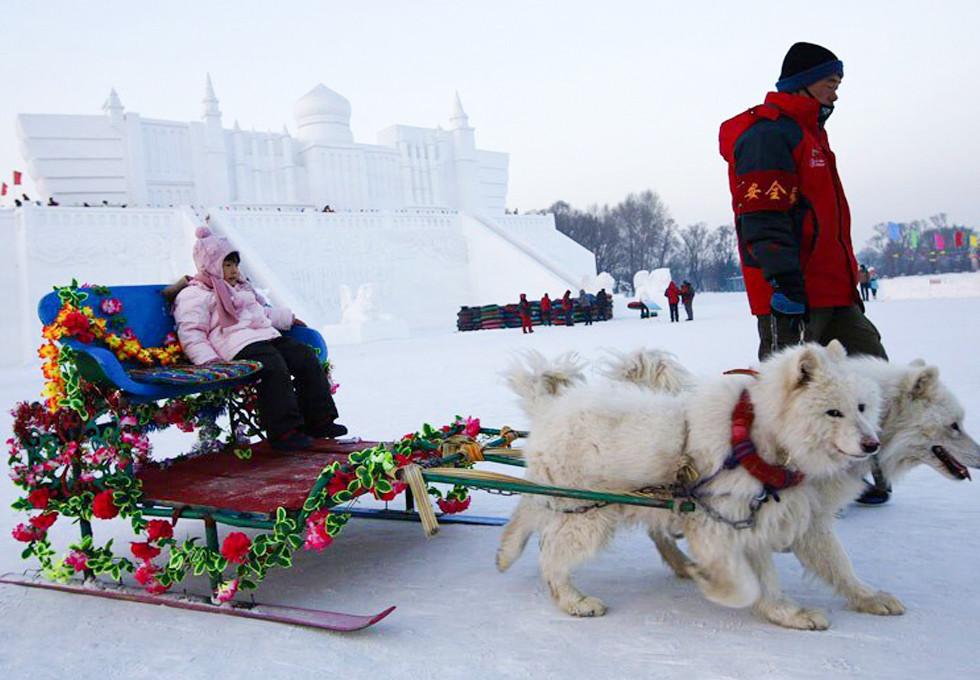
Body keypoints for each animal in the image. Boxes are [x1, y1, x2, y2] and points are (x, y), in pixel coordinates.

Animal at [498, 342, 880, 628]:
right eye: (833, 412)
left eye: (861, 407)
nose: (872, 444)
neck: (759, 441)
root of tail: (549, 408)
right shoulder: (718, 523)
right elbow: (746, 585)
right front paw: (714, 585)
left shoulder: (770, 519)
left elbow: (833, 566)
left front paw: (859, 600)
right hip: (588, 514)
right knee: (551, 554)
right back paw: (573, 600)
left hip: (574, 500)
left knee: (528, 509)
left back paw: (507, 551)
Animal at [608, 348, 976, 624]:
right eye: (954, 425)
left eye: (862, 408)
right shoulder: (750, 513)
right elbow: (766, 572)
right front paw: (787, 612)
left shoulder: (809, 514)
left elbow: (838, 563)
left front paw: (867, 597)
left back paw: (682, 563)